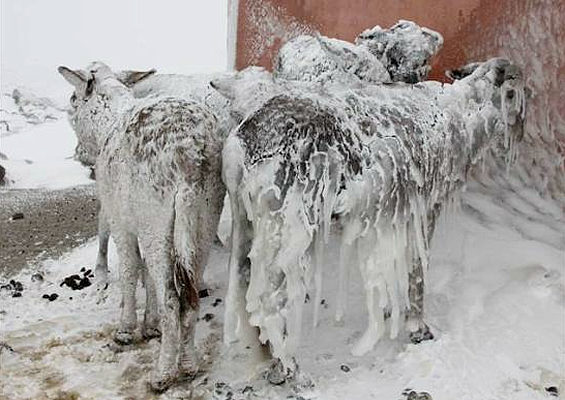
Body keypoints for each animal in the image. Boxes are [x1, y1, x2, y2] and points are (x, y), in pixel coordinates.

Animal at [57, 62, 225, 390]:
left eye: (73, 97)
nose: (78, 151)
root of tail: (188, 159)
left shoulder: (123, 222)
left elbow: (131, 270)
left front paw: (127, 329)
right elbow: (146, 274)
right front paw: (150, 326)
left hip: (156, 217)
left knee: (173, 298)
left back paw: (163, 374)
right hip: (204, 216)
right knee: (190, 293)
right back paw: (188, 364)